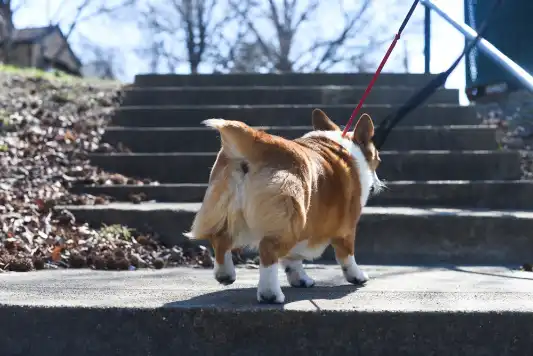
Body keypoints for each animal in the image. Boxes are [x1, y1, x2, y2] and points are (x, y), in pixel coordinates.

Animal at [186, 108, 382, 304]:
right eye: (378, 159)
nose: (378, 185)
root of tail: (255, 140)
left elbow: (292, 261)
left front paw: (301, 279)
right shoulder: (346, 229)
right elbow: (347, 255)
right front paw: (357, 276)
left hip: (227, 208)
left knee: (220, 238)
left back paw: (225, 274)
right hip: (291, 219)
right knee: (267, 251)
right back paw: (270, 294)